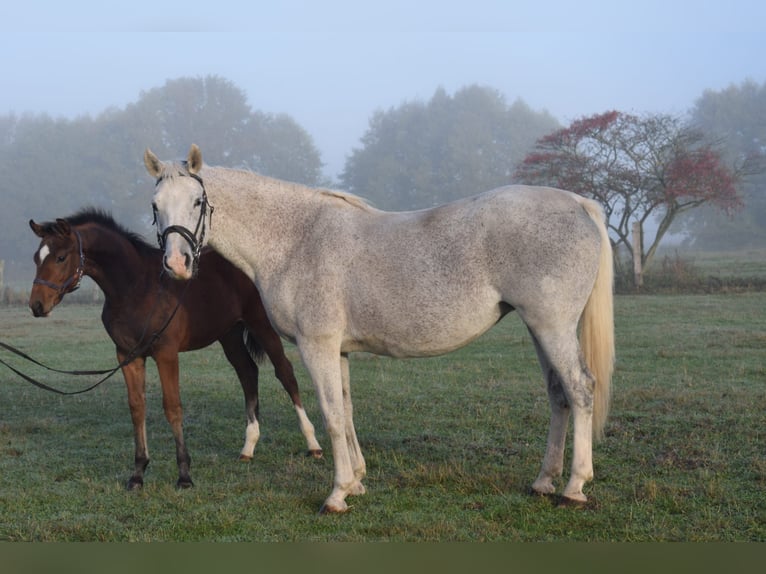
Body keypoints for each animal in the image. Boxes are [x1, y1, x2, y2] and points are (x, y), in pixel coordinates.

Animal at [28, 209, 322, 492]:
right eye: (36, 258)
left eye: (61, 257)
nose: (37, 306)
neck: (136, 288)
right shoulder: (127, 356)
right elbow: (137, 407)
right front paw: (137, 474)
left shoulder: (166, 353)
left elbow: (172, 407)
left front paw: (184, 476)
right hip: (229, 334)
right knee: (247, 372)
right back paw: (248, 448)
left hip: (262, 325)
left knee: (285, 373)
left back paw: (313, 444)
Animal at [144, 146, 616, 516]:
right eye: (155, 205)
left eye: (197, 201)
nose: (177, 264)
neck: (296, 238)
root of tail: (578, 202)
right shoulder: (339, 351)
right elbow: (348, 412)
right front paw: (356, 481)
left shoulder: (317, 346)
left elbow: (332, 416)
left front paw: (336, 495)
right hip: (540, 330)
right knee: (558, 396)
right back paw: (544, 482)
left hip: (552, 327)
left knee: (580, 390)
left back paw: (574, 487)